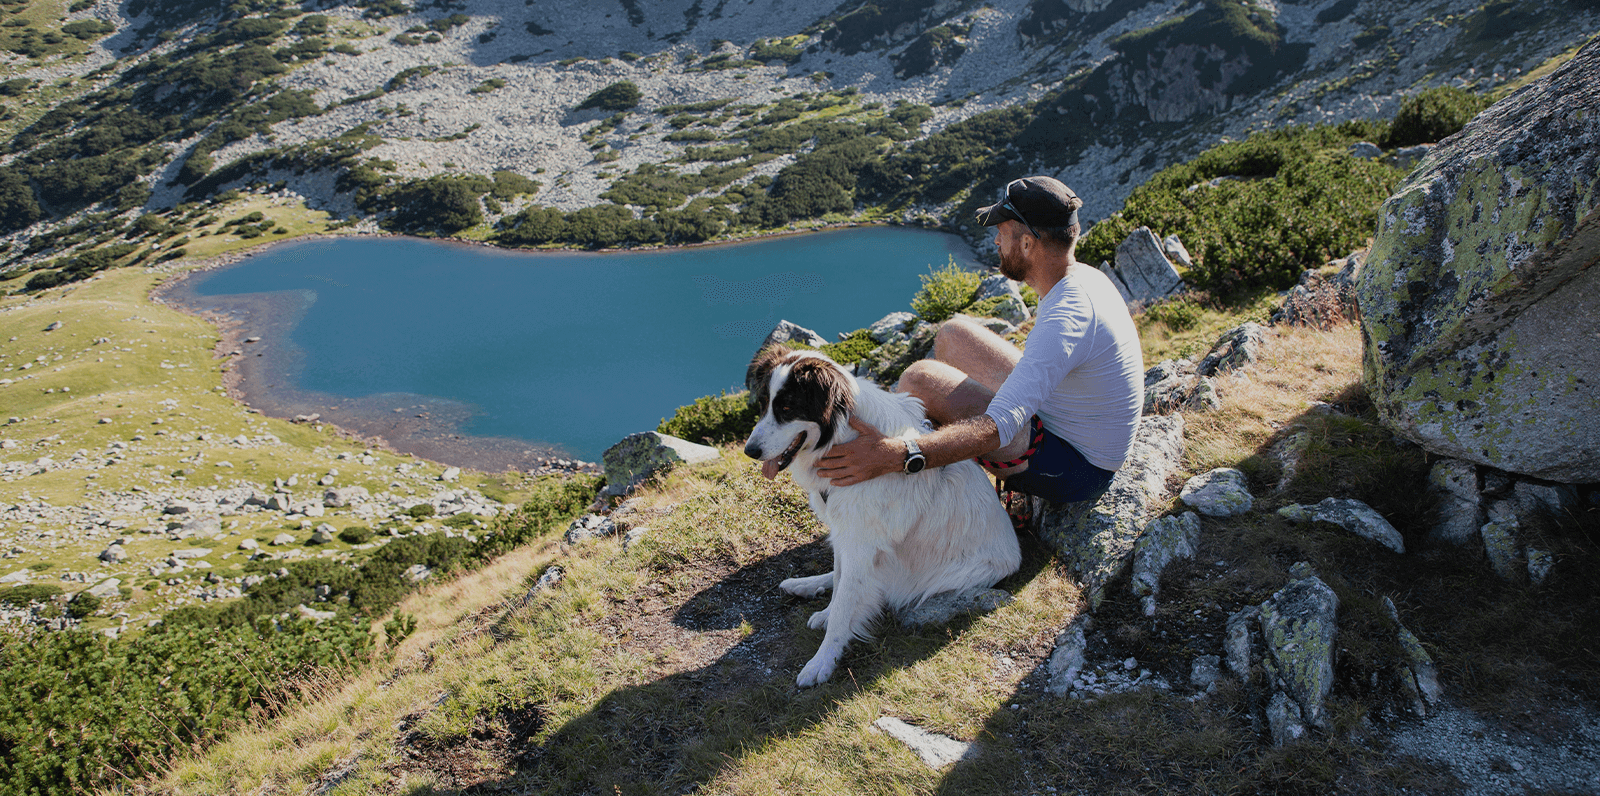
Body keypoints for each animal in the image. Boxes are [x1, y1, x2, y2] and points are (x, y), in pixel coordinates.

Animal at [742, 345, 1017, 687]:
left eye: (788, 407)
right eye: (763, 404)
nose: (749, 451)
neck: (843, 436)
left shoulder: (861, 540)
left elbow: (846, 602)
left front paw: (822, 662)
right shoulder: (846, 530)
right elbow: (840, 581)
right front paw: (828, 614)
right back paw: (805, 586)